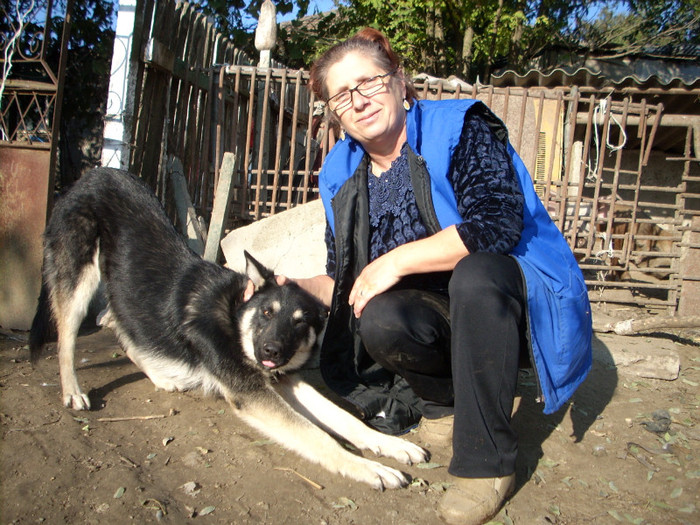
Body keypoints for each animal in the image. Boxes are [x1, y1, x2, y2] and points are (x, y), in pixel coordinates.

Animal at [30, 167, 430, 488]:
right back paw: (72, 391)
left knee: (118, 324)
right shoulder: (253, 393)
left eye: (300, 323)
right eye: (266, 312)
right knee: (67, 337)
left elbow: (345, 420)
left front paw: (392, 444)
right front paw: (369, 468)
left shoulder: (282, 381)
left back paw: (160, 375)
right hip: (80, 281)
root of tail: (95, 174)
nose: (270, 351)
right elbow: (320, 437)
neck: (235, 318)